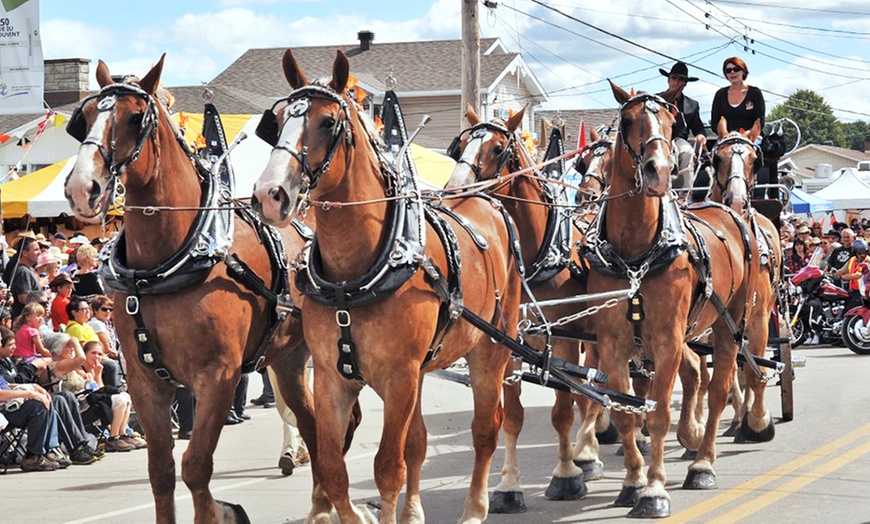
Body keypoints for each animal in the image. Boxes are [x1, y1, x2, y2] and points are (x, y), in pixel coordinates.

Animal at [63, 57, 348, 524]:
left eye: (136, 117)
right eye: (83, 118)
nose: (80, 188)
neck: (167, 262)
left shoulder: (218, 375)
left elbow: (196, 467)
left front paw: (221, 511)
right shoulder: (145, 381)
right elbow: (161, 472)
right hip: (288, 360)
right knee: (310, 424)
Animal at [252, 51, 524, 524]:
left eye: (327, 122)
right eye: (280, 118)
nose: (270, 194)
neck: (353, 276)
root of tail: (488, 200)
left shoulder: (399, 378)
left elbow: (387, 468)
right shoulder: (333, 379)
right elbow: (333, 467)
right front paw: (358, 513)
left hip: (491, 351)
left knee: (486, 429)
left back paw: (476, 507)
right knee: (419, 441)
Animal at [584, 82, 764, 516]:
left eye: (670, 121)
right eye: (627, 120)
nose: (659, 170)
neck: (637, 251)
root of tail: (725, 209)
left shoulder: (667, 339)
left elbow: (661, 414)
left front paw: (654, 489)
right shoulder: (613, 343)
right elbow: (627, 412)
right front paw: (633, 482)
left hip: (732, 324)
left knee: (719, 389)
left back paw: (705, 462)